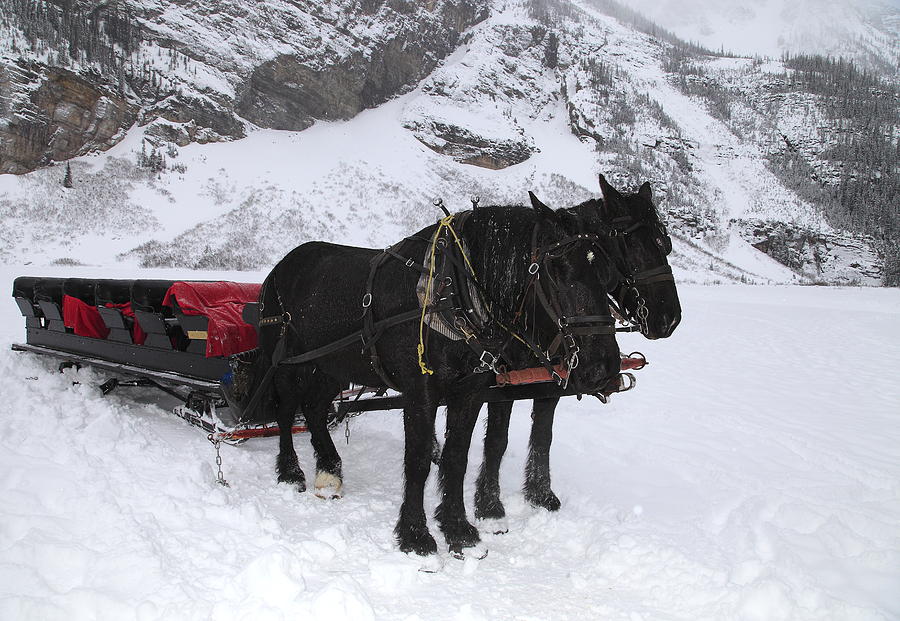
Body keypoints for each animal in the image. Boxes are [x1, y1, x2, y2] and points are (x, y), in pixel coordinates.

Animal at [236, 201, 624, 556]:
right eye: (558, 271)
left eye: (607, 275)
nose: (604, 368)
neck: (453, 294)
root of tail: (281, 267)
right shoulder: (419, 391)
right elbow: (420, 459)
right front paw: (414, 535)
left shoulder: (470, 390)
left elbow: (456, 457)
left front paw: (458, 529)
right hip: (288, 363)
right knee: (287, 411)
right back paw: (291, 472)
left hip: (330, 366)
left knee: (316, 409)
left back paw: (330, 471)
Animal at [474, 176, 680, 524]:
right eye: (633, 246)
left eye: (664, 244)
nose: (670, 318)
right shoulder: (499, 383)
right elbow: (496, 441)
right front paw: (488, 504)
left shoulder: (551, 382)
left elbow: (543, 436)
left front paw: (541, 494)